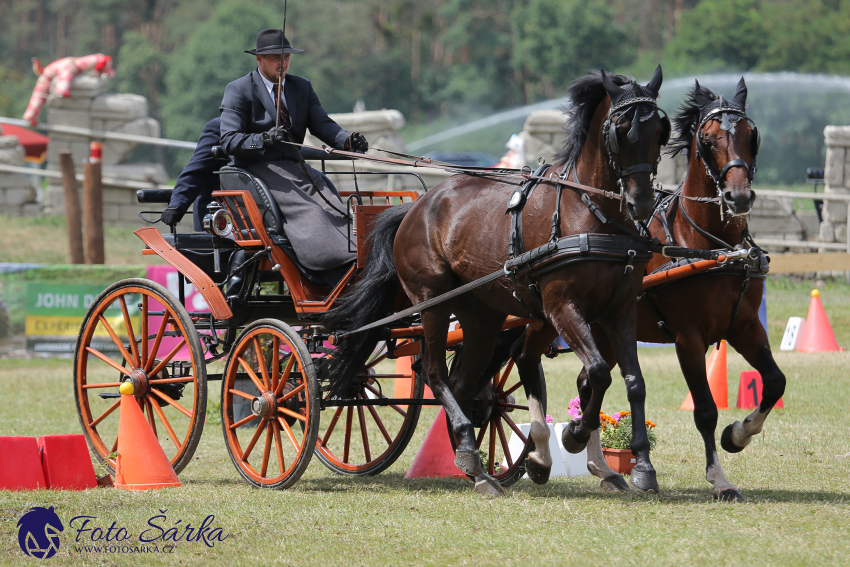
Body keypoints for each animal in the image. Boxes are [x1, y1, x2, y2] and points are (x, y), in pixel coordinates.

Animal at [322, 66, 668, 494]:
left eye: (661, 130)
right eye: (622, 130)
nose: (642, 203)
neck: (591, 213)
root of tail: (415, 207)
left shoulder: (618, 311)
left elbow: (633, 381)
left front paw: (641, 467)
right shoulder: (562, 308)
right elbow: (601, 372)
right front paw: (573, 435)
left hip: (483, 316)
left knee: (463, 383)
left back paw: (474, 462)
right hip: (434, 303)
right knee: (435, 373)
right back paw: (476, 455)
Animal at [580, 76, 784, 502]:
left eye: (751, 134)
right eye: (707, 139)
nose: (738, 196)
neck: (710, 246)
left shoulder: (745, 326)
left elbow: (775, 382)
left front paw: (737, 435)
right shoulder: (688, 337)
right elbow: (705, 409)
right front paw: (720, 479)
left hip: (606, 332)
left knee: (588, 382)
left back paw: (603, 468)